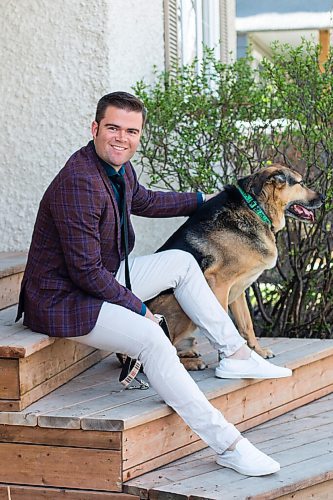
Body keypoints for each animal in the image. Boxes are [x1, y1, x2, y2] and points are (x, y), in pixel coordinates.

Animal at [147, 164, 322, 372]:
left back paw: (189, 353)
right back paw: (191, 363)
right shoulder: (219, 284)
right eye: (301, 183)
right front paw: (228, 361)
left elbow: (247, 325)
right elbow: (223, 324)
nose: (324, 198)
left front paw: (258, 352)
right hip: (178, 303)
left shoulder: (239, 290)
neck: (256, 208)